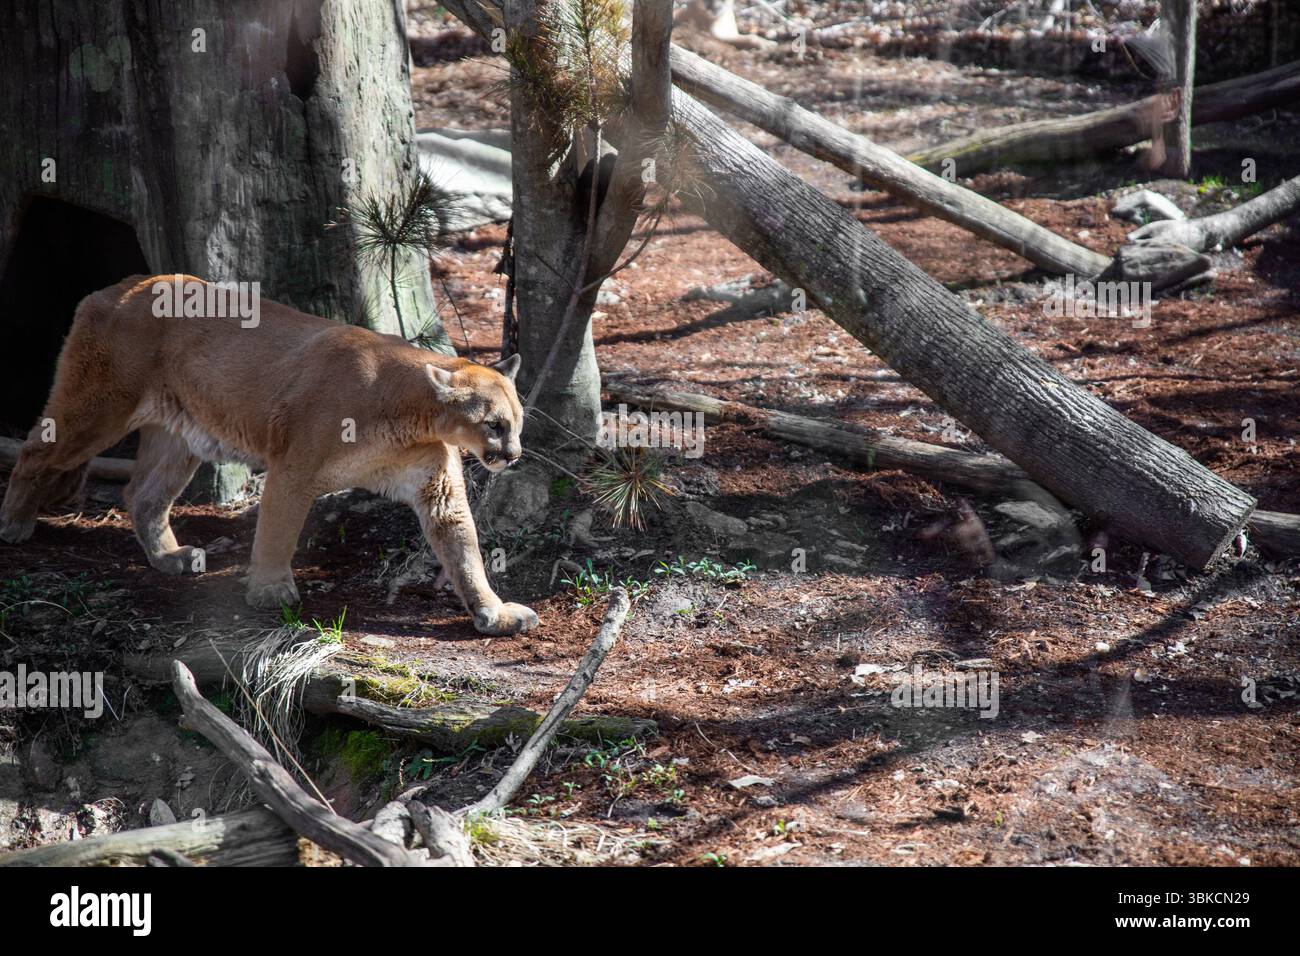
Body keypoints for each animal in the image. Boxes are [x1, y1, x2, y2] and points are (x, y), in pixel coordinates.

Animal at [0, 274, 538, 636]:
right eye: (493, 425)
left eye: (517, 422)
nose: (513, 455)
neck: (412, 413)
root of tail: (120, 286)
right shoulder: (294, 468)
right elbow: (278, 531)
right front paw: (270, 590)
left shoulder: (435, 486)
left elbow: (464, 549)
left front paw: (493, 611)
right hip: (99, 408)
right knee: (33, 451)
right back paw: (14, 524)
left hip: (180, 435)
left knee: (142, 494)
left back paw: (170, 557)